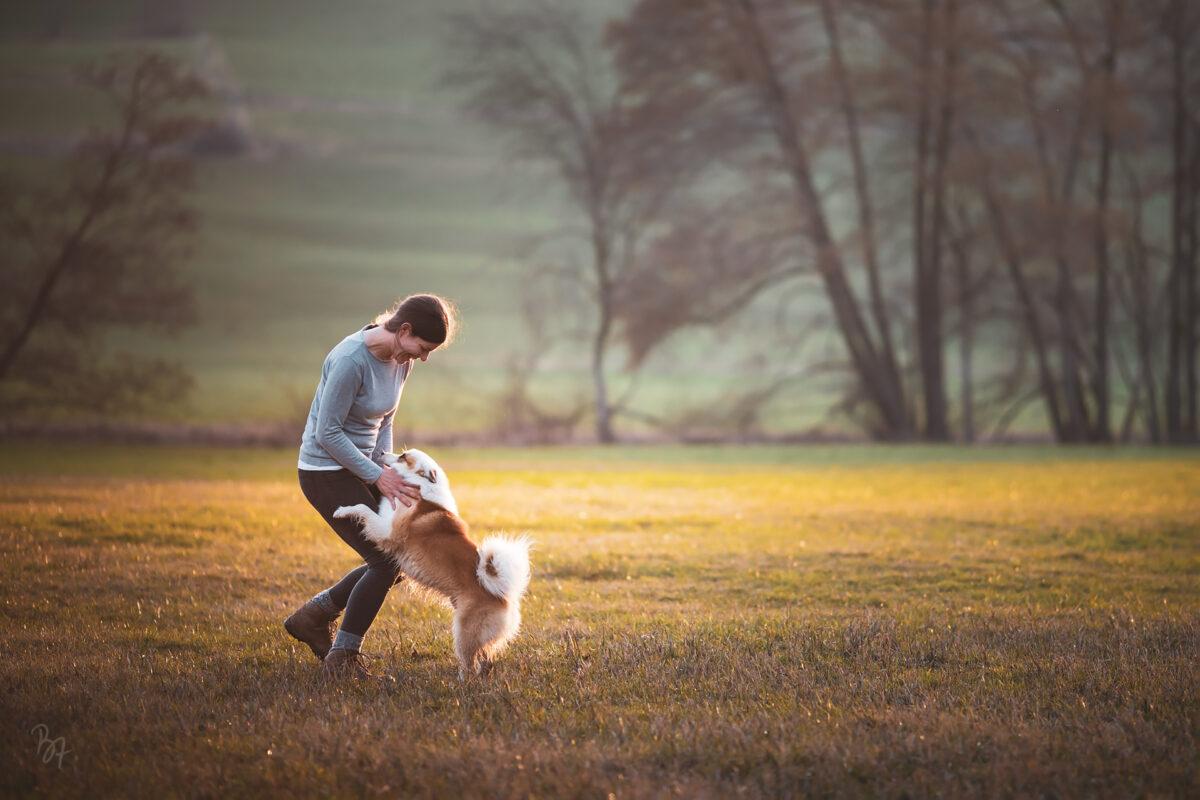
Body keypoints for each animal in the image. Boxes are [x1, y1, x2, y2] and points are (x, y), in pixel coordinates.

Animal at [333, 448, 530, 681]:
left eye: (403, 457)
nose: (381, 452)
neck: (419, 487)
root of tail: (503, 595)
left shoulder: (387, 532)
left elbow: (363, 508)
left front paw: (342, 510)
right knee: (485, 658)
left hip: (463, 631)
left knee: (469, 663)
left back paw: (462, 682)